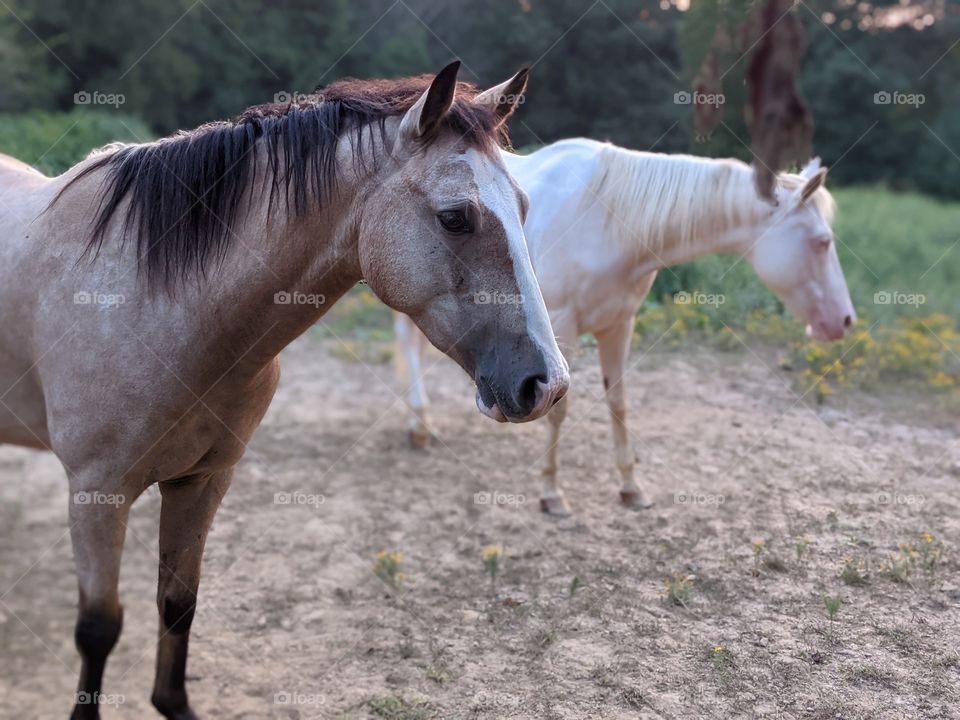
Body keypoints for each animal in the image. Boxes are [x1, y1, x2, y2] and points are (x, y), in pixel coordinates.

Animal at [0, 62, 570, 719]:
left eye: (522, 206)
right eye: (455, 217)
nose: (547, 384)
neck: (154, 301)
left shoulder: (203, 481)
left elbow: (178, 605)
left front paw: (174, 703)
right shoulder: (97, 493)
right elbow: (98, 629)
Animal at [394, 137, 855, 516]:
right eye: (822, 242)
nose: (844, 321)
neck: (610, 219)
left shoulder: (619, 326)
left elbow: (619, 402)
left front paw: (631, 488)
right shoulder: (561, 329)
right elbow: (559, 410)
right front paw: (552, 494)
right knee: (408, 346)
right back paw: (418, 427)